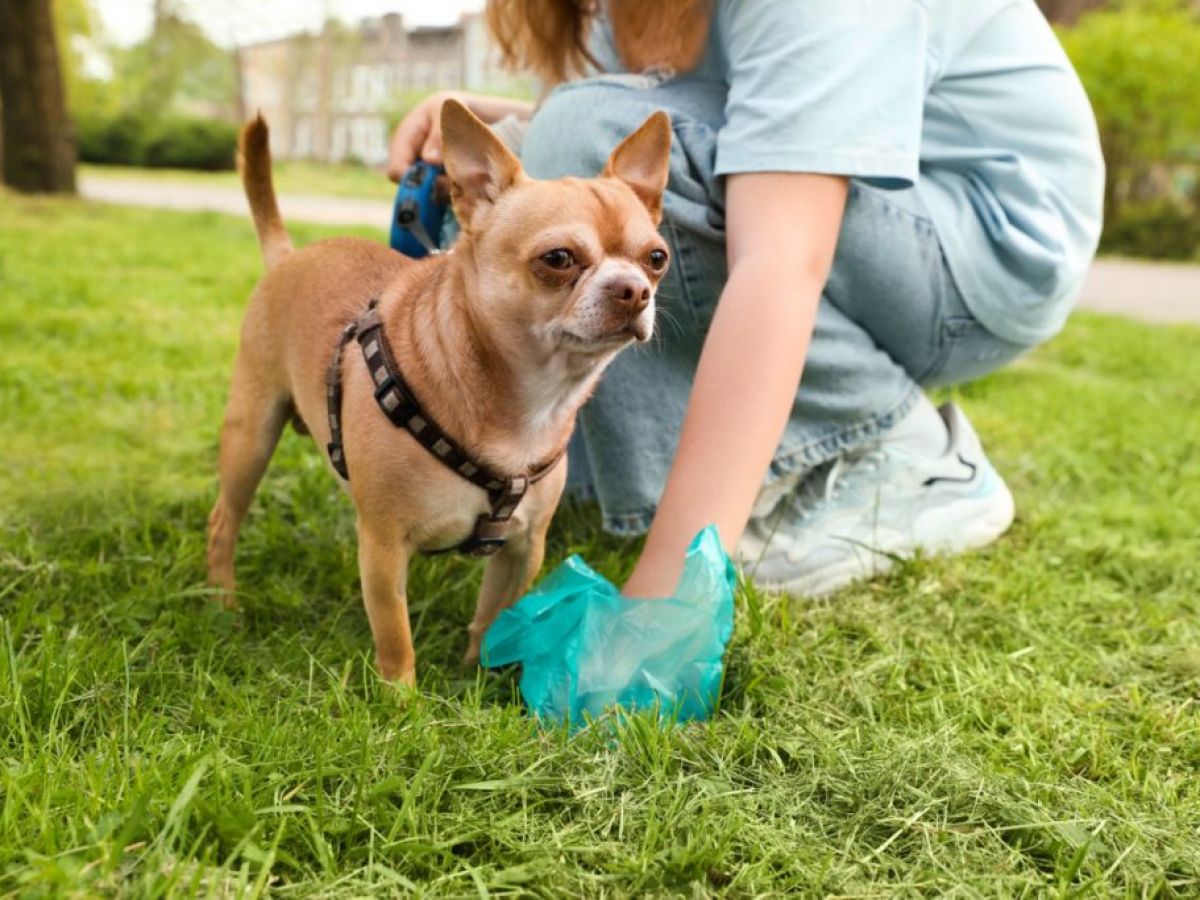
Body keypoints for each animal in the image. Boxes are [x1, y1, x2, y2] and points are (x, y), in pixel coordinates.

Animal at [207, 98, 676, 686]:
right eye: (558, 259)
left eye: (657, 259)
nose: (634, 289)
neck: (527, 403)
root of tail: (289, 255)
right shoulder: (384, 547)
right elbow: (396, 636)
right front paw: (401, 698)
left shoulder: (523, 547)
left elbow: (494, 617)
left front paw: (479, 676)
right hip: (251, 435)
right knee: (223, 522)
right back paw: (223, 607)